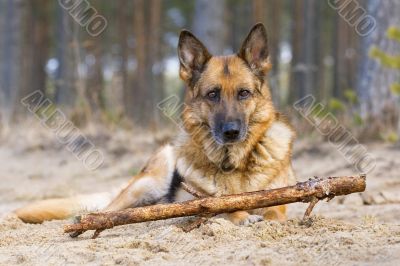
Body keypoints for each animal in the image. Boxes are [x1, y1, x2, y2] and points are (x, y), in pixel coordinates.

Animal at [15, 22, 296, 225]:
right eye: (212, 94)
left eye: (244, 93)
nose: (231, 132)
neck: (234, 164)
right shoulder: (199, 203)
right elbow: (219, 206)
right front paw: (241, 215)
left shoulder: (277, 199)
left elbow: (275, 211)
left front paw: (268, 218)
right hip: (146, 183)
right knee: (107, 210)